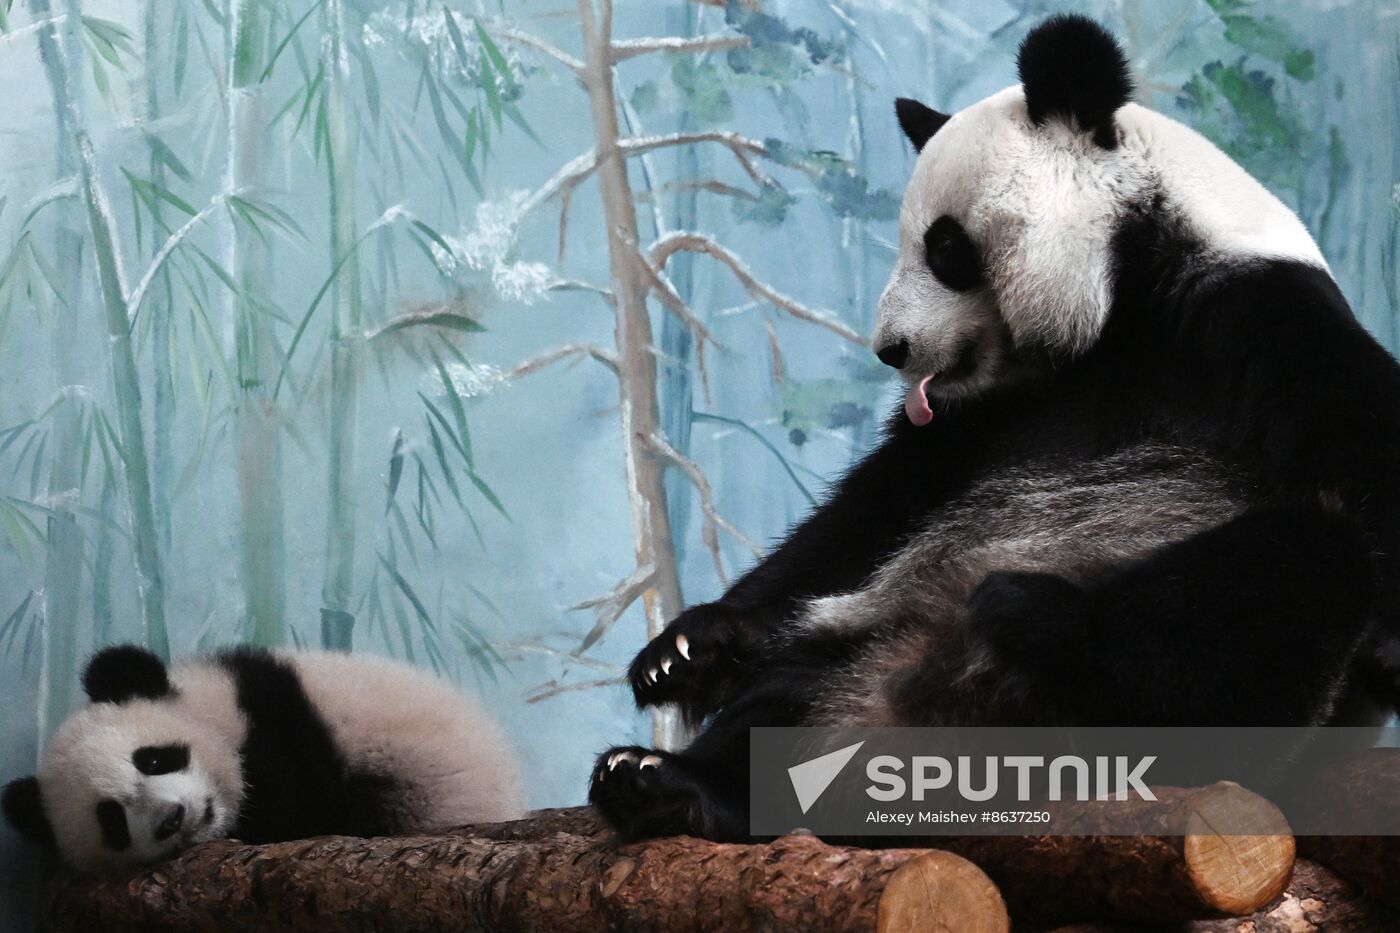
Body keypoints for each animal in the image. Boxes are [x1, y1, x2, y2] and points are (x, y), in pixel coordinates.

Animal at [588, 14, 1400, 843]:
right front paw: (686, 648)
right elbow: (871, 512)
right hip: (861, 650)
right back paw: (674, 781)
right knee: (785, 700)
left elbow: (1366, 473)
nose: (891, 349)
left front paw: (1033, 606)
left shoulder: (1259, 320)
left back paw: (1034, 625)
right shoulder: (987, 413)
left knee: (1304, 564)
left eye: (944, 245)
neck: (1127, 289)